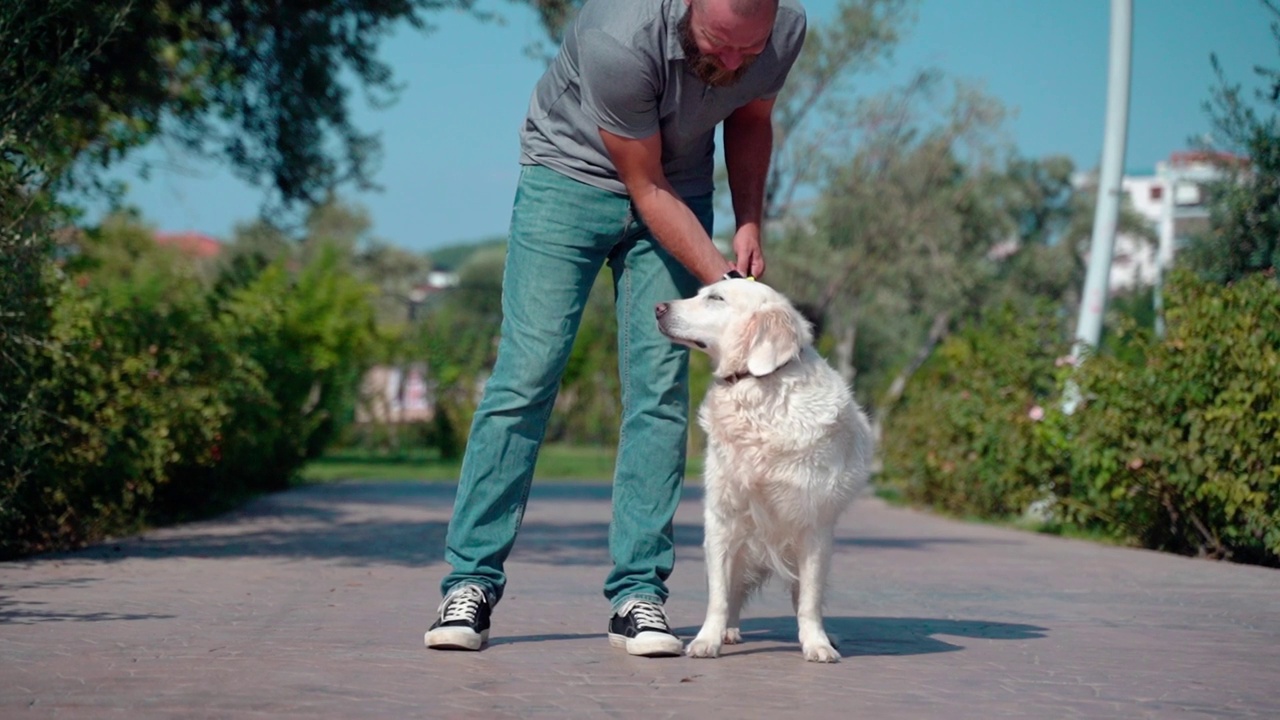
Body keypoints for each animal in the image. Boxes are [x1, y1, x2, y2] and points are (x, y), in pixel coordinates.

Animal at [655, 278, 875, 661]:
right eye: (699, 292)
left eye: (716, 298)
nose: (658, 308)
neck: (757, 388)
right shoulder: (721, 518)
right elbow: (718, 595)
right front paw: (707, 640)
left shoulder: (813, 526)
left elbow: (809, 600)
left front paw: (817, 643)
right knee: (733, 590)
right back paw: (728, 631)